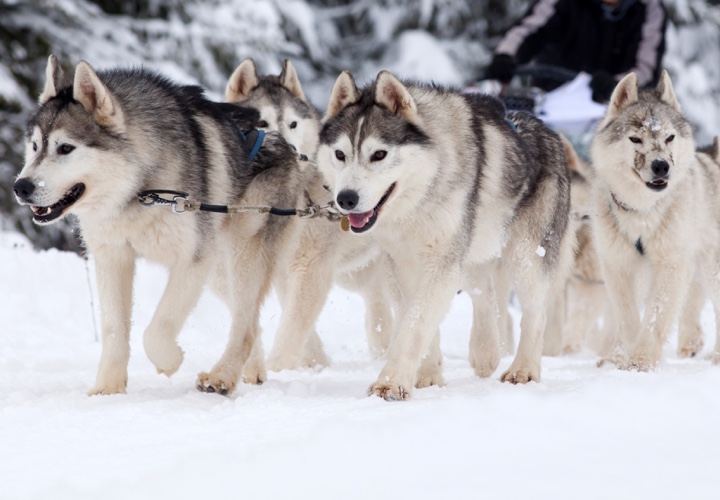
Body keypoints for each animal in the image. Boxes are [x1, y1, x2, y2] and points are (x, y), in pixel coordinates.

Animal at [12, 54, 308, 396]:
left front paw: (170, 361)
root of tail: (282, 142)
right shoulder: (113, 258)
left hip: (243, 253)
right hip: (219, 271)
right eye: (35, 146)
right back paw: (250, 370)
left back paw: (221, 376)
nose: (21, 187)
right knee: (250, 321)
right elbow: (114, 329)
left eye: (65, 148)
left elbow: (157, 329)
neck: (138, 190)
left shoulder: (192, 261)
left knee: (244, 322)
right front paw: (107, 390)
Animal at [224, 59, 400, 372]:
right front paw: (315, 363)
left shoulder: (311, 264)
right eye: (263, 124)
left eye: (293, 124)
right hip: (354, 272)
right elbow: (296, 318)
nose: (290, 151)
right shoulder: (283, 266)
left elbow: (295, 321)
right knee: (375, 298)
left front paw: (279, 367)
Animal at [318, 69, 576, 398]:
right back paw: (485, 352)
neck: (422, 195)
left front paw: (390, 382)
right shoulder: (404, 264)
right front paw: (428, 376)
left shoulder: (441, 263)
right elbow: (417, 319)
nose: (346, 199)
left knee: (535, 313)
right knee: (485, 294)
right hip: (473, 253)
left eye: (379, 154)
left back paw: (523, 369)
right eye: (340, 154)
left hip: (527, 255)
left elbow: (415, 323)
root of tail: (550, 133)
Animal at [592, 72, 720, 372]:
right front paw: (625, 360)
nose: (661, 166)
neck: (642, 212)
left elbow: (655, 318)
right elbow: (628, 319)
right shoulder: (618, 266)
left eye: (669, 137)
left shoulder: (671, 264)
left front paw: (641, 362)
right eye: (635, 139)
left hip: (711, 268)